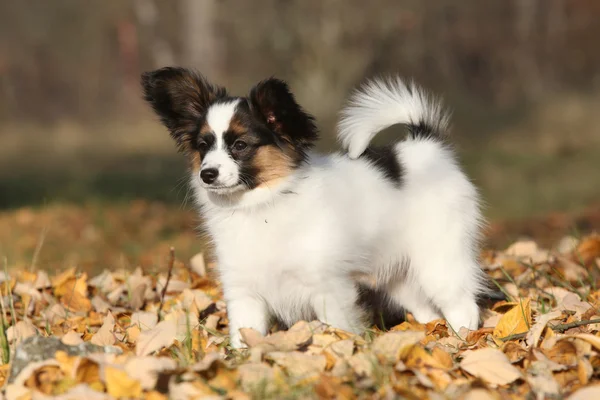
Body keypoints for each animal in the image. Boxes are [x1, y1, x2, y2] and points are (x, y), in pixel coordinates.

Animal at [143, 68, 490, 346]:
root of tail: (425, 145)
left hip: (439, 260)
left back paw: (460, 343)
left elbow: (339, 330)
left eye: (240, 146)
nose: (207, 174)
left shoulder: (328, 289)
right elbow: (245, 336)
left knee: (462, 306)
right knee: (427, 309)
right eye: (203, 146)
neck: (263, 204)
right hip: (399, 276)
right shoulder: (244, 292)